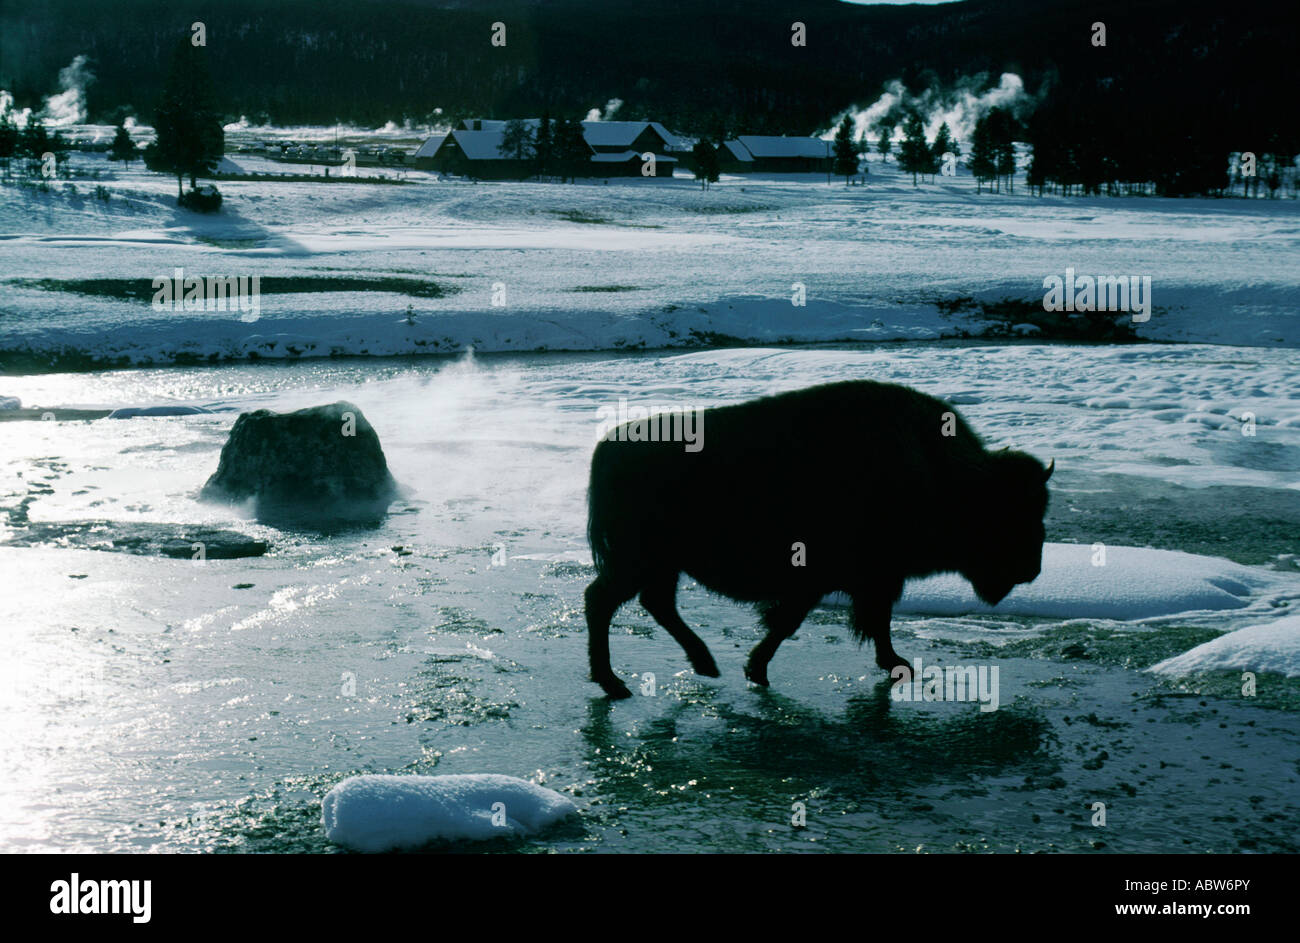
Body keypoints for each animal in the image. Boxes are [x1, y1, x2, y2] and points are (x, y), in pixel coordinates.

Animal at [585, 379, 1050, 697]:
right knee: (604, 602)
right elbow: (797, 622)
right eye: (1010, 515)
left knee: (655, 604)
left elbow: (861, 622)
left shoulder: (862, 582)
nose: (1031, 570)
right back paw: (616, 684)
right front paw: (758, 669)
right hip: (640, 562)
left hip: (661, 565)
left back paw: (703, 665)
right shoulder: (844, 579)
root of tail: (608, 447)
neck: (943, 477)